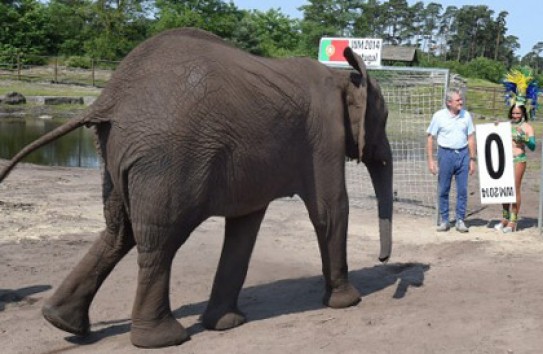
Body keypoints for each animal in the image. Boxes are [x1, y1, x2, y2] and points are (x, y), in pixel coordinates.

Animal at [0, 28, 394, 348]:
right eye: (384, 119)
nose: (383, 259)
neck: (343, 77)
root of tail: (109, 98)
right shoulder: (323, 135)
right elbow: (330, 209)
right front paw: (349, 302)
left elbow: (245, 226)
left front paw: (225, 324)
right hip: (168, 160)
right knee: (160, 239)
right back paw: (163, 339)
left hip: (116, 153)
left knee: (118, 231)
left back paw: (61, 322)